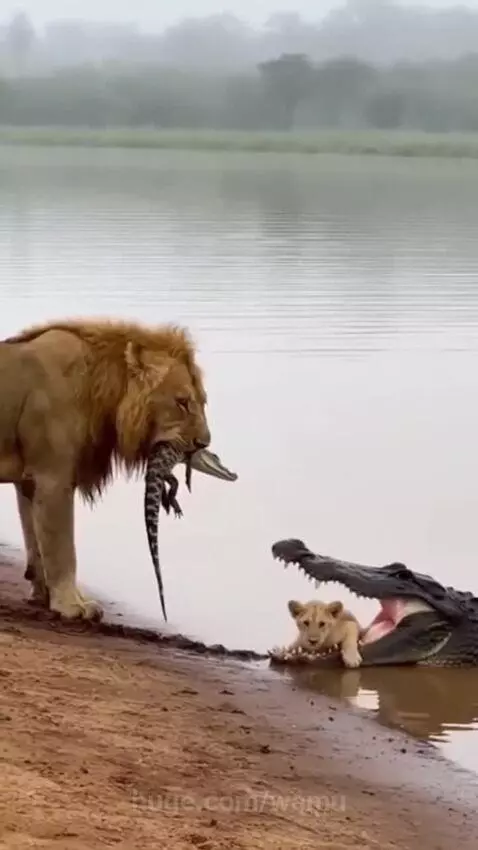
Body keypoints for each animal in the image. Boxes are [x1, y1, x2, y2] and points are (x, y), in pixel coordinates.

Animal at [0, 317, 212, 621]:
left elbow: (35, 543)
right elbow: (62, 548)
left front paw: (44, 597)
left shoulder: (29, 482)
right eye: (182, 402)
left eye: (202, 401)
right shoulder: (53, 479)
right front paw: (71, 605)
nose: (205, 443)